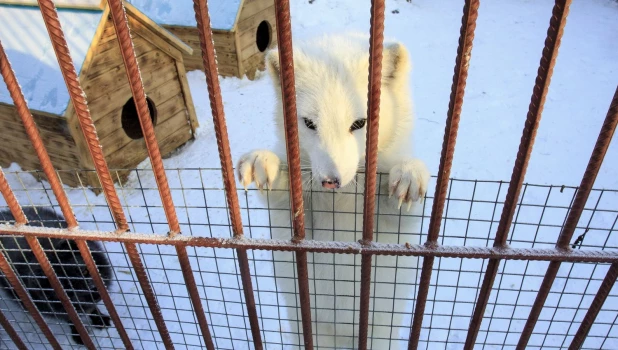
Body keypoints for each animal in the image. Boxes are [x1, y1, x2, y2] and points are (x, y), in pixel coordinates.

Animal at [236, 33, 428, 350]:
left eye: (360, 123)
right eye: (309, 123)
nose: (330, 181)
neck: (343, 200)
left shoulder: (397, 226)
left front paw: (409, 173)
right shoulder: (290, 215)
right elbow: (282, 193)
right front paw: (264, 161)